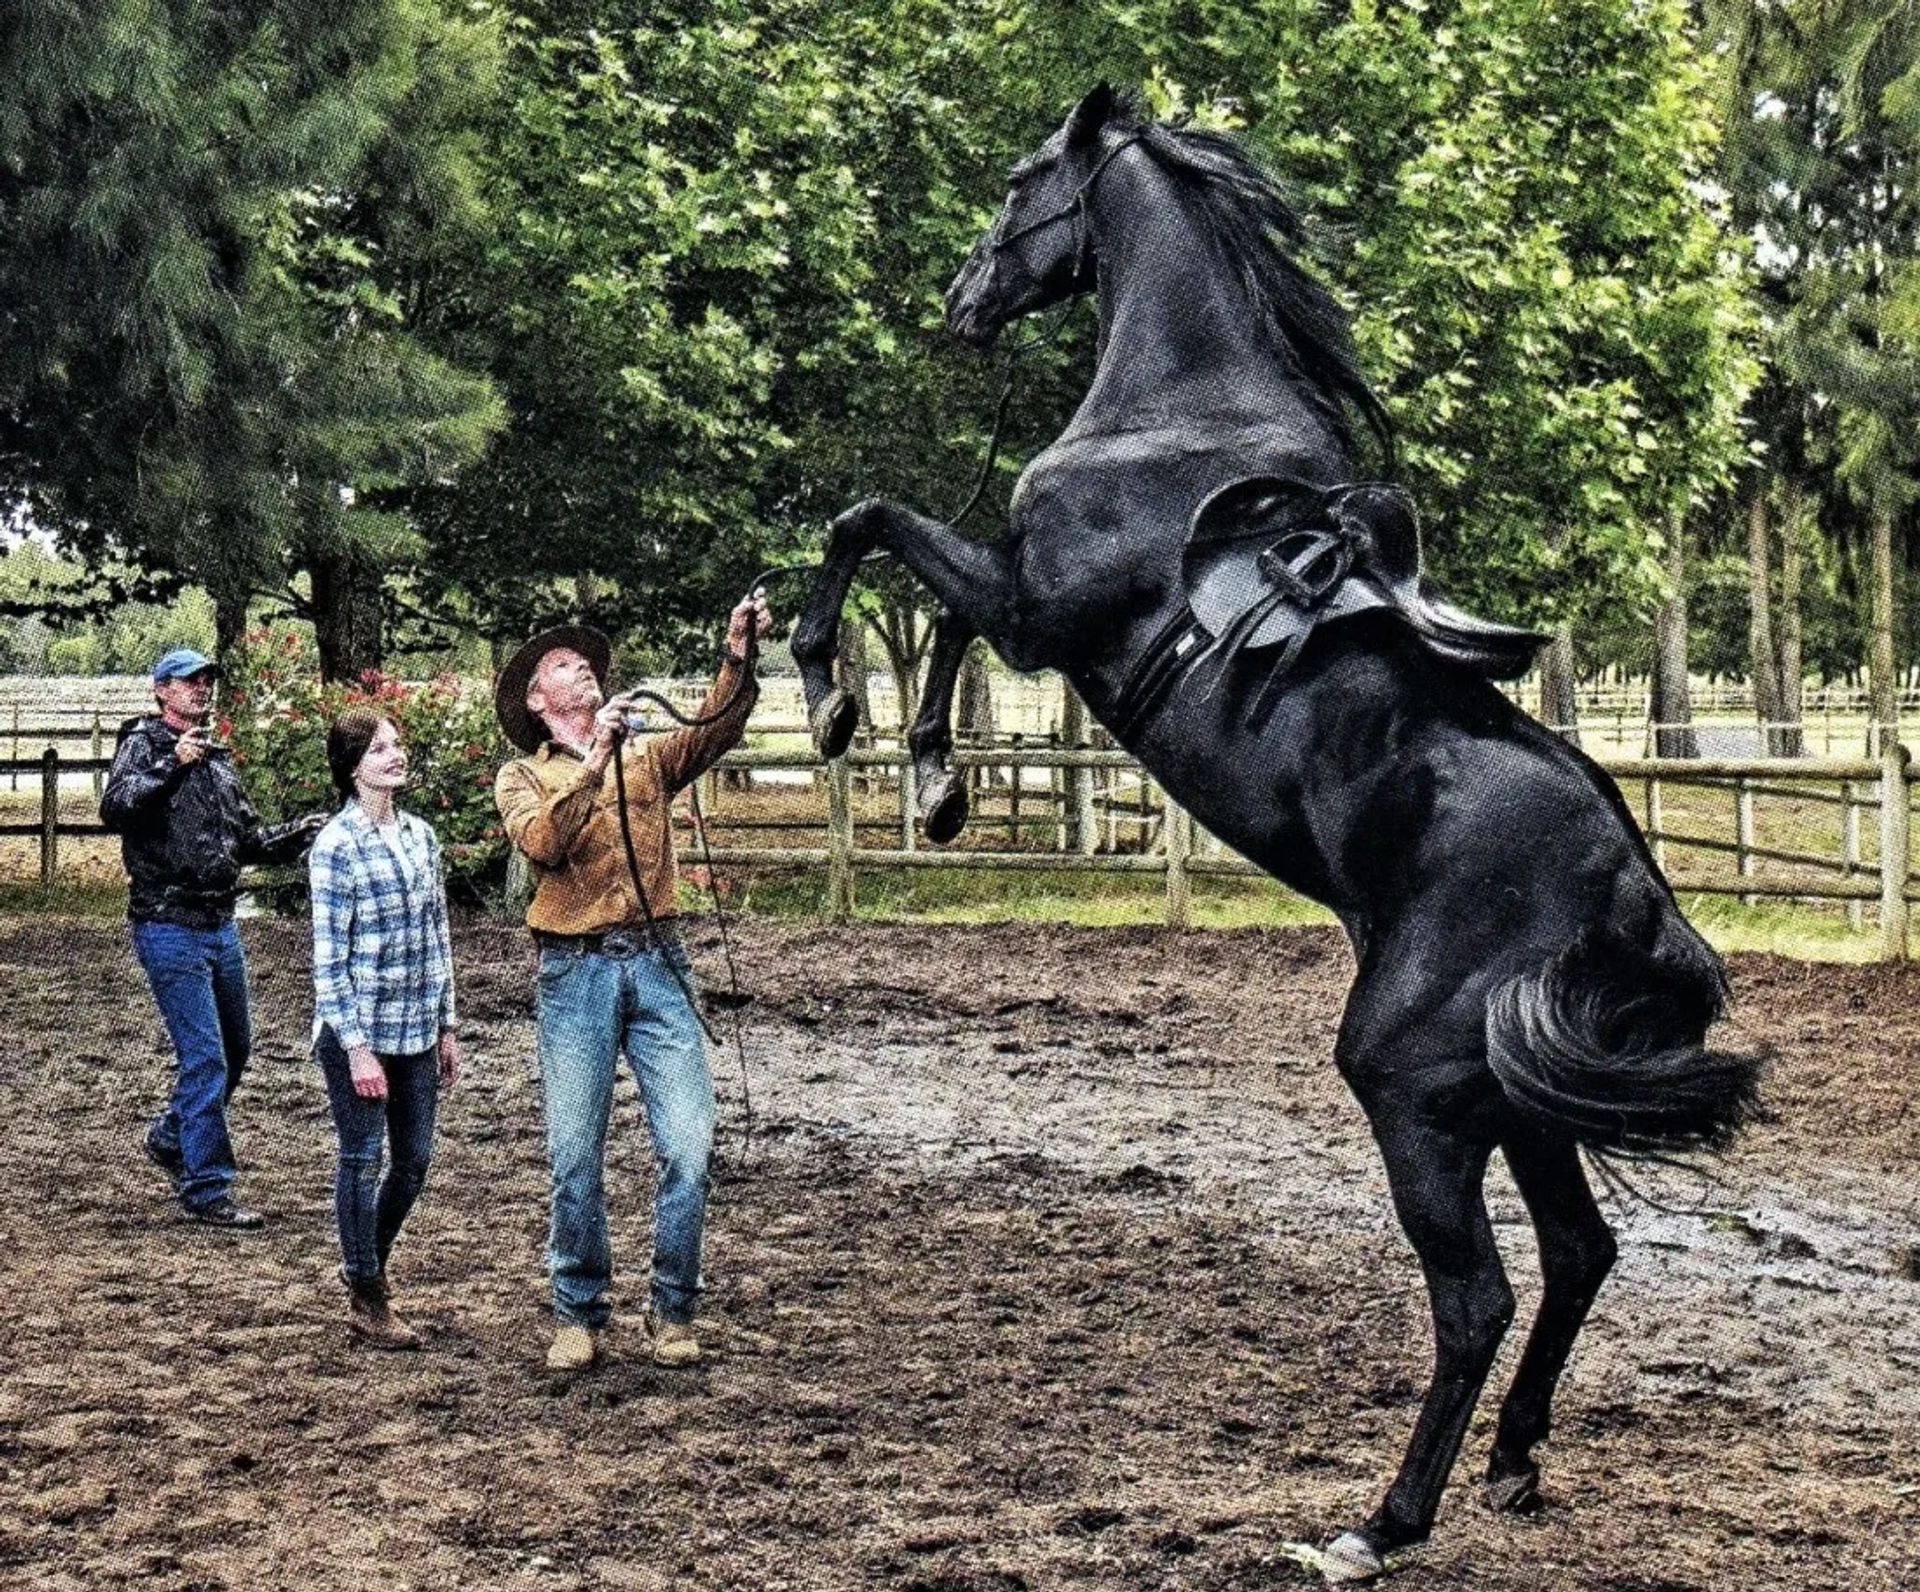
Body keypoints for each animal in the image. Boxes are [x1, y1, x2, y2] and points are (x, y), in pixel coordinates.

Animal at [787, 86, 1758, 1574]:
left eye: (1020, 181)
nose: (960, 304)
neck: (1176, 415)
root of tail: (1637, 901)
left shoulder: (1038, 611)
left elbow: (881, 534)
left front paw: (846, 701)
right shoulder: (1027, 611)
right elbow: (930, 603)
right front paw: (931, 776)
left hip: (1411, 1089)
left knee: (1476, 1296)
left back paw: (1382, 1522)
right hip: (1513, 1094)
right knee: (1581, 1254)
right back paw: (1515, 1463)